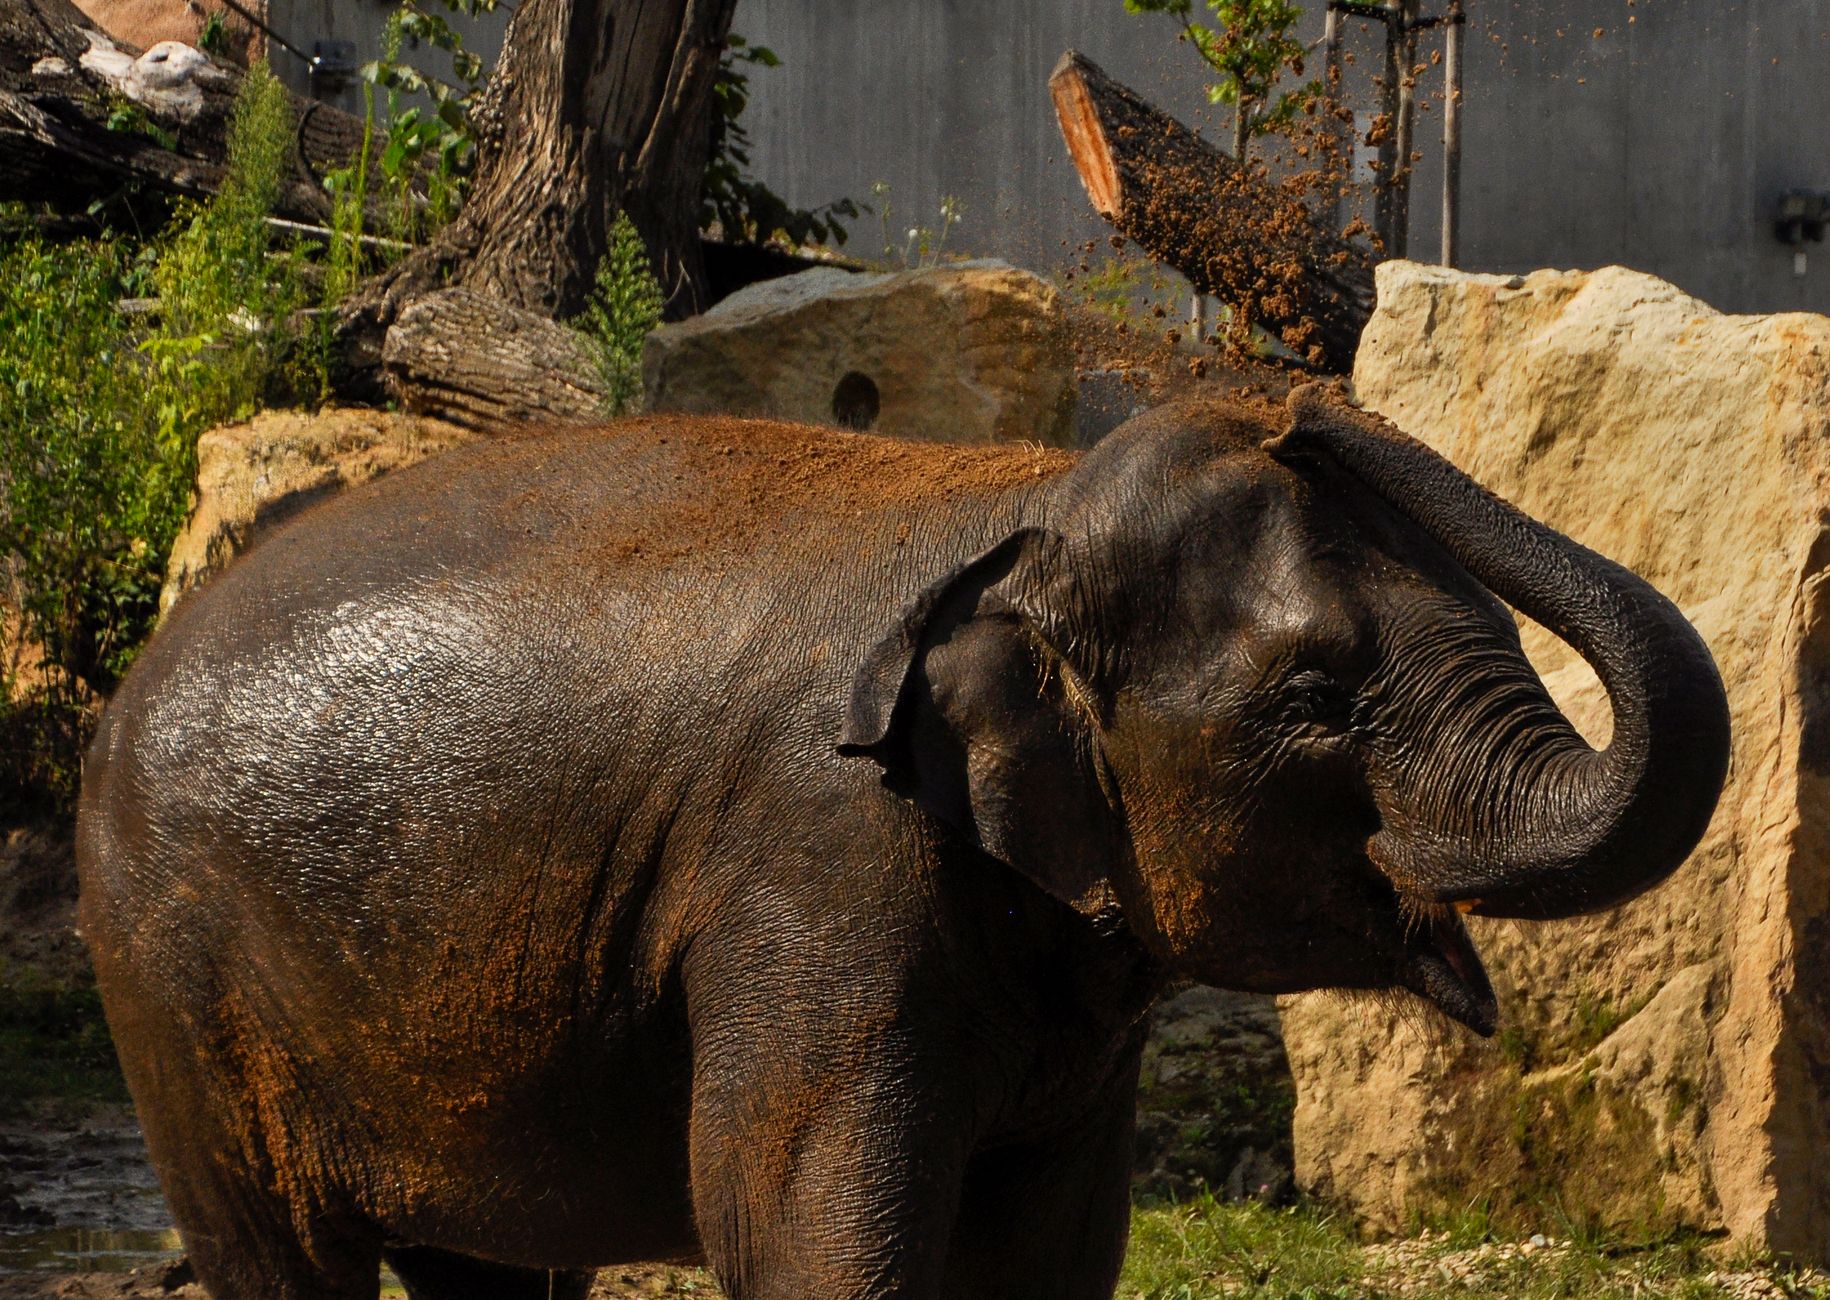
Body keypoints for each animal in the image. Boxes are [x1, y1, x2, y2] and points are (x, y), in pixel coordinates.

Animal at [76, 386, 1730, 1300]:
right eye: (1315, 698)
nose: (1288, 401)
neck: (1023, 499)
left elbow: (1049, 1261)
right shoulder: (817, 875)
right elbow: (801, 1244)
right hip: (177, 988)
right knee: (284, 1261)